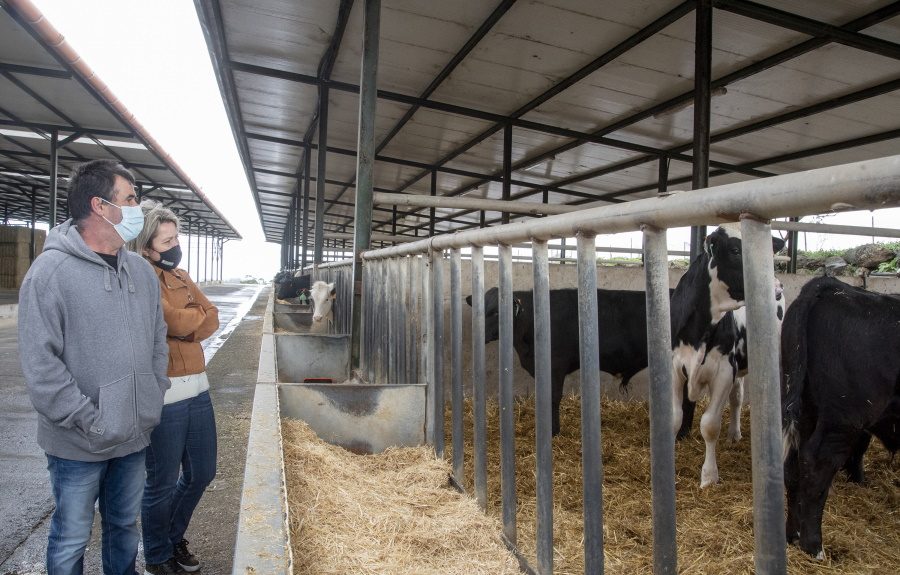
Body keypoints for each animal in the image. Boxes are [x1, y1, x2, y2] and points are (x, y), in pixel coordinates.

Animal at [668, 225, 788, 486]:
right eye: (735, 250)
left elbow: (710, 425)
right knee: (737, 397)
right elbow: (674, 418)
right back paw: (733, 433)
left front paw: (709, 476)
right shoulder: (673, 368)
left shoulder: (724, 370)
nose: (776, 287)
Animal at [780, 276, 900, 560]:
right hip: (843, 418)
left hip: (805, 410)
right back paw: (814, 547)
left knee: (793, 465)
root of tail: (831, 287)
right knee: (817, 464)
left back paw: (794, 534)